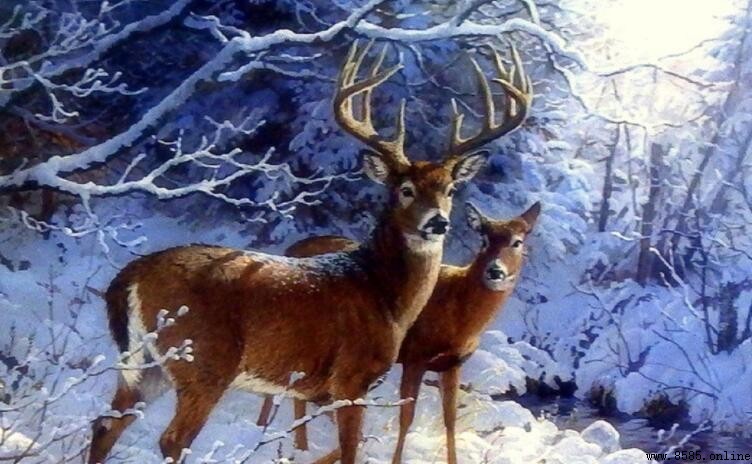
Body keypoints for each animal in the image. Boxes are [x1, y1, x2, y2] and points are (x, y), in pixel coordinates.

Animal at [257, 201, 540, 464]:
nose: (495, 271)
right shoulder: (415, 356)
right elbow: (406, 417)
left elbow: (450, 420)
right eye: (484, 240)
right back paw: (265, 431)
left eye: (517, 242)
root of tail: (288, 250)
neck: (460, 316)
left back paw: (299, 447)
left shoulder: (452, 363)